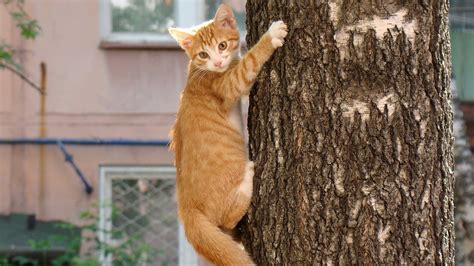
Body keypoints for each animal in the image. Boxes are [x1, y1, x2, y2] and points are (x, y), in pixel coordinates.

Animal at [169, 4, 286, 266]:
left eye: (222, 46)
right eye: (203, 54)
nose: (218, 61)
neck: (197, 70)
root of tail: (186, 209)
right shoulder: (229, 84)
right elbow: (250, 61)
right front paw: (271, 36)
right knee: (230, 216)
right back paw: (248, 178)